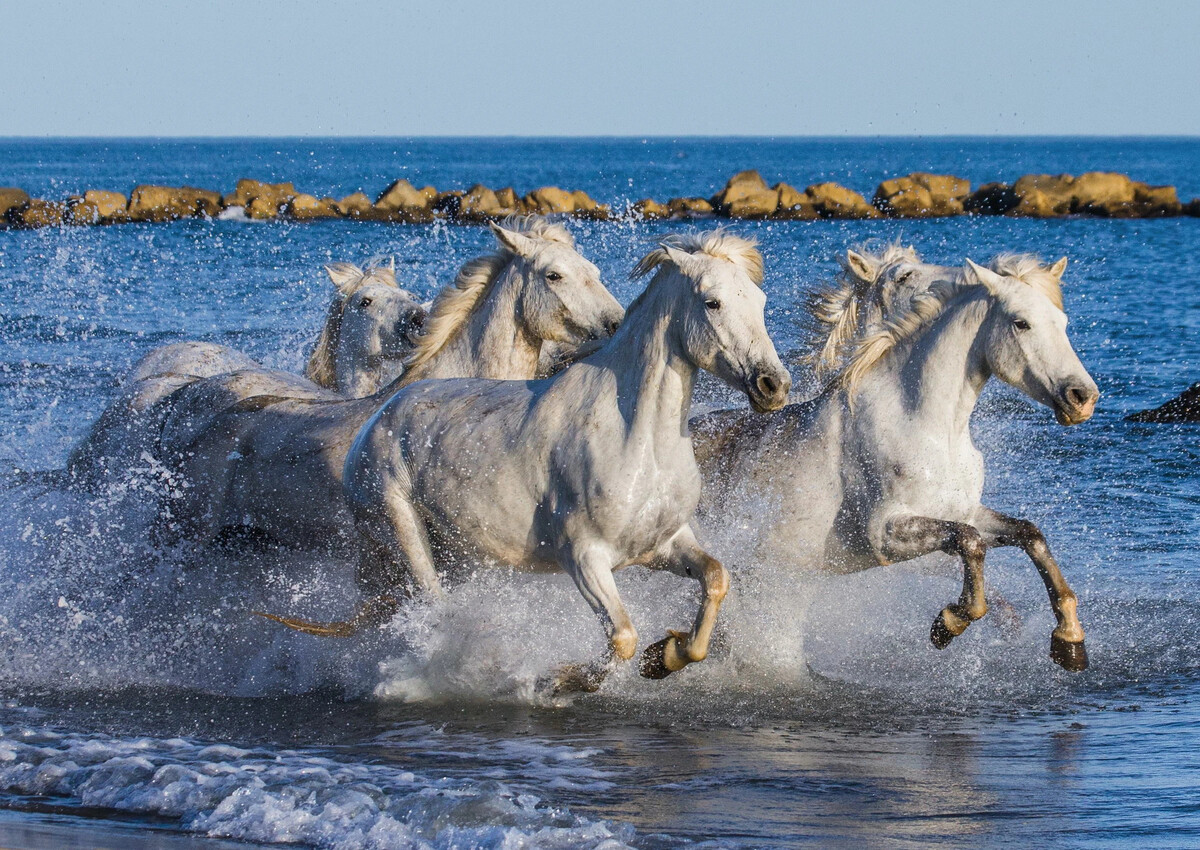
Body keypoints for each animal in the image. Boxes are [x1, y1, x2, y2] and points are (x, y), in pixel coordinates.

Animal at [696, 252, 1099, 672]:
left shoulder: (964, 512)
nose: (1082, 397)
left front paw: (1069, 640)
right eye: (1021, 322)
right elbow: (970, 544)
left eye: (1062, 322)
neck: (927, 428)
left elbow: (1029, 534)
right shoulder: (885, 535)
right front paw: (949, 623)